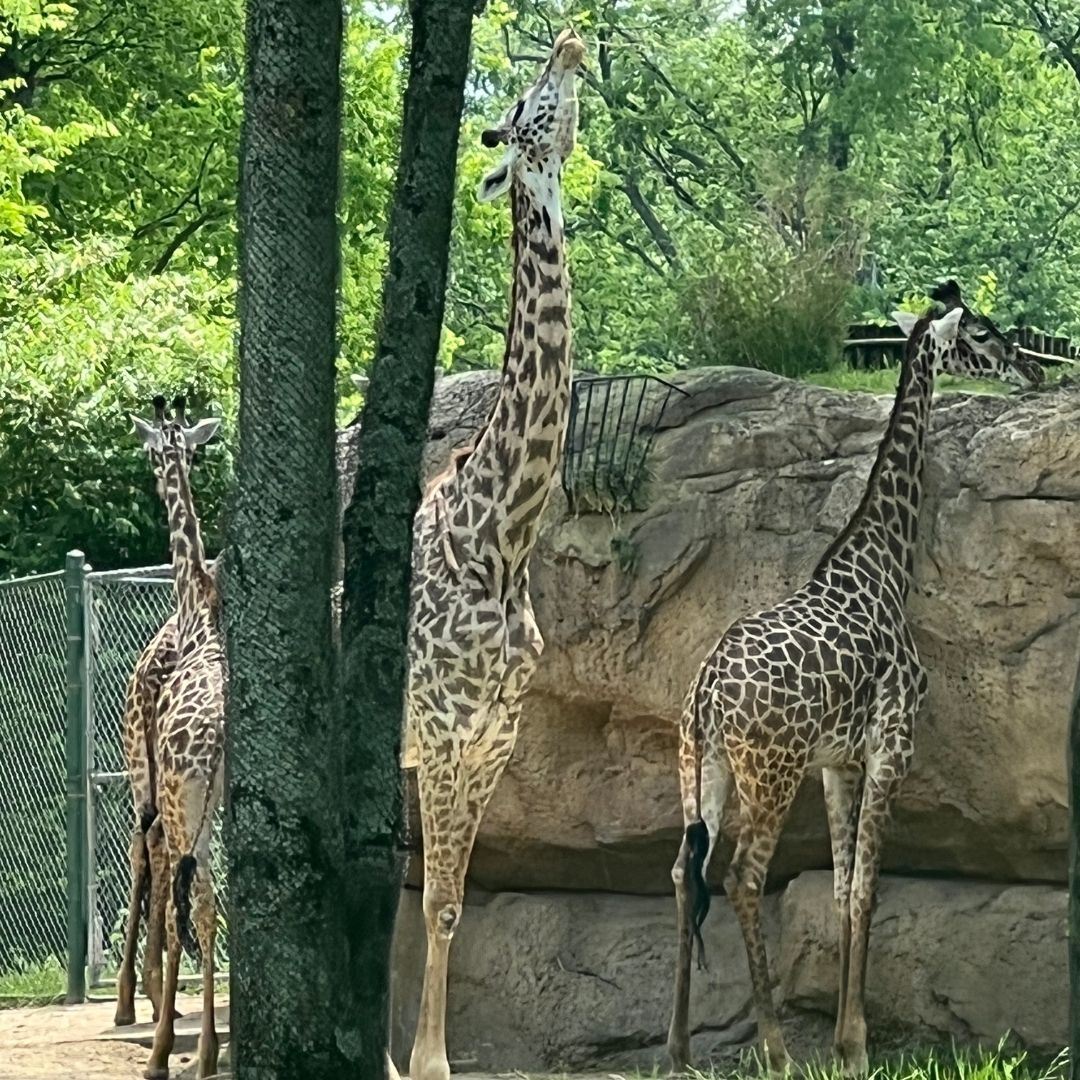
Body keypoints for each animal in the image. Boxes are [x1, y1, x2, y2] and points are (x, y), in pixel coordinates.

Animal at [666, 282, 1042, 1077]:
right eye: (982, 335)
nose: (1033, 370)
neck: (881, 564)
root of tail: (708, 691)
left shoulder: (837, 762)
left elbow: (840, 889)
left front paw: (844, 1036)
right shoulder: (890, 745)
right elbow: (868, 887)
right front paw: (855, 1042)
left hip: (697, 764)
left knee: (686, 872)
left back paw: (678, 1045)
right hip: (769, 771)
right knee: (741, 877)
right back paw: (775, 1048)